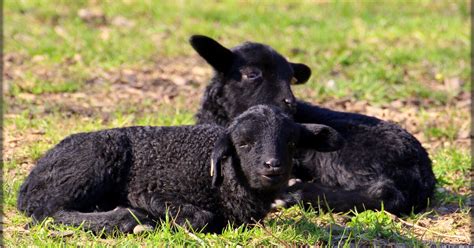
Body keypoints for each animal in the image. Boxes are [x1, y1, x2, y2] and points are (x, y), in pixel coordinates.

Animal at [17, 105, 344, 234]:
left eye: (291, 143)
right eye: (243, 143)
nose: (272, 166)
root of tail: (28, 182)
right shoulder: (150, 190)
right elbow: (200, 217)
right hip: (93, 162)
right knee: (48, 212)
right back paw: (128, 219)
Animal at [190, 34, 436, 215]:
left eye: (290, 78)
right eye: (252, 74)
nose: (290, 102)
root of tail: (424, 172)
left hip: (345, 158)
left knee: (385, 193)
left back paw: (297, 193)